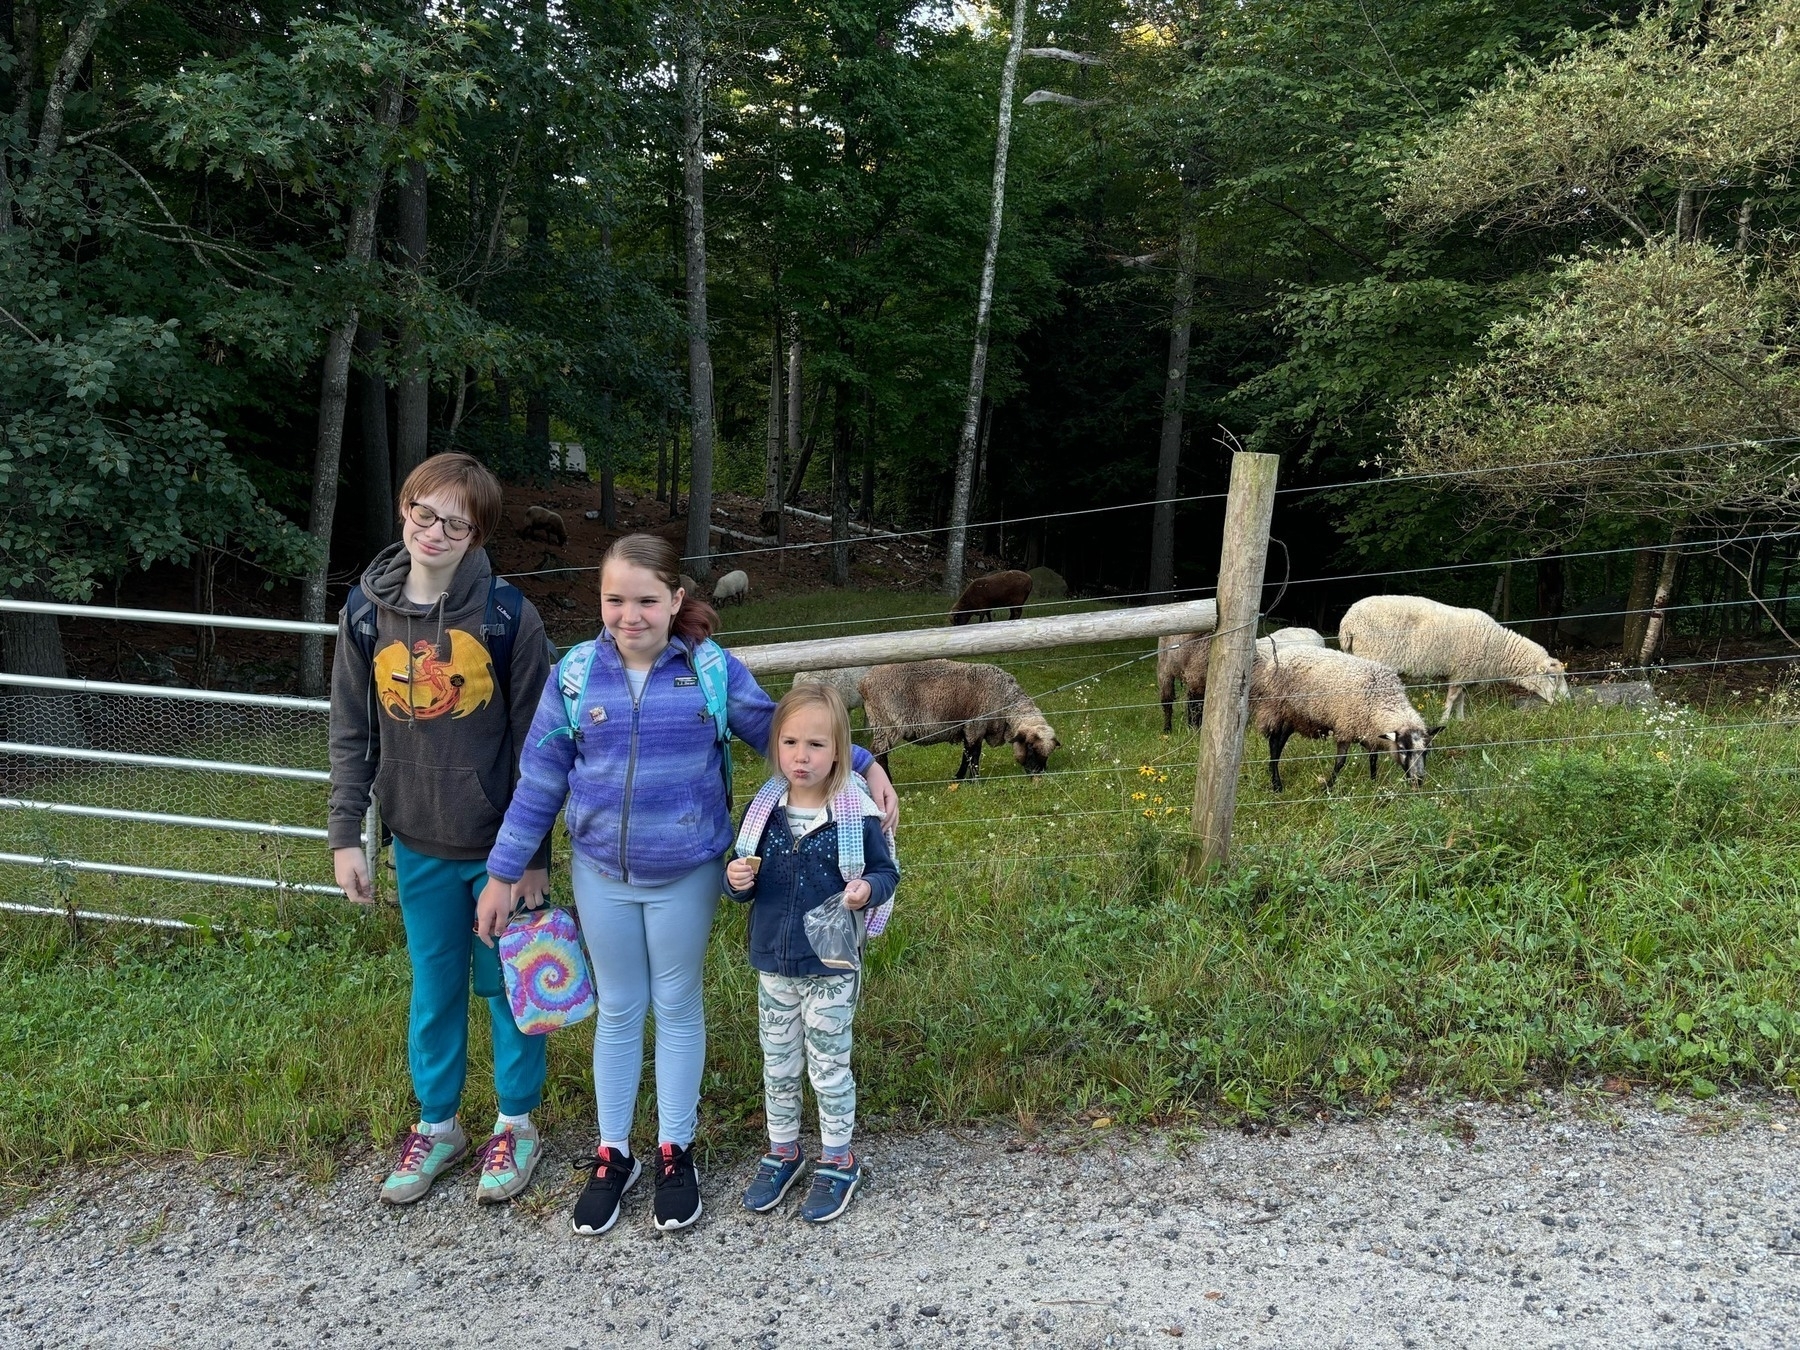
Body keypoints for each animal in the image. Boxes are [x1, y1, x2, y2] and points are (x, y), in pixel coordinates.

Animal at [856, 658, 1051, 777]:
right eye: (1030, 748)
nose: (1038, 774)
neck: (1005, 701)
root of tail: (864, 682)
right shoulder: (975, 725)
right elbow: (974, 755)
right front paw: (976, 782)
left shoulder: (966, 728)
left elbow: (966, 754)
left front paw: (958, 779)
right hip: (887, 724)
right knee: (879, 754)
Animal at [1245, 648, 1440, 792]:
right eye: (1402, 749)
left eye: (1427, 751)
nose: (1418, 781)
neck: (1381, 698)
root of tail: (1274, 659)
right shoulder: (1345, 728)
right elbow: (1340, 763)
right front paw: (1328, 787)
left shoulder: (1369, 733)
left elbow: (1373, 759)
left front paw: (1373, 783)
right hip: (1276, 709)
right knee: (1274, 744)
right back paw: (1276, 784)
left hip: (1293, 716)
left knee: (1279, 743)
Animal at [1346, 590, 1569, 720]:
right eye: (1552, 676)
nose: (1567, 701)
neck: (1497, 647)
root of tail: (1348, 622)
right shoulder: (1462, 670)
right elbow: (1452, 698)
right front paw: (1444, 721)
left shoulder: (1465, 674)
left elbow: (1461, 698)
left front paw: (1461, 720)